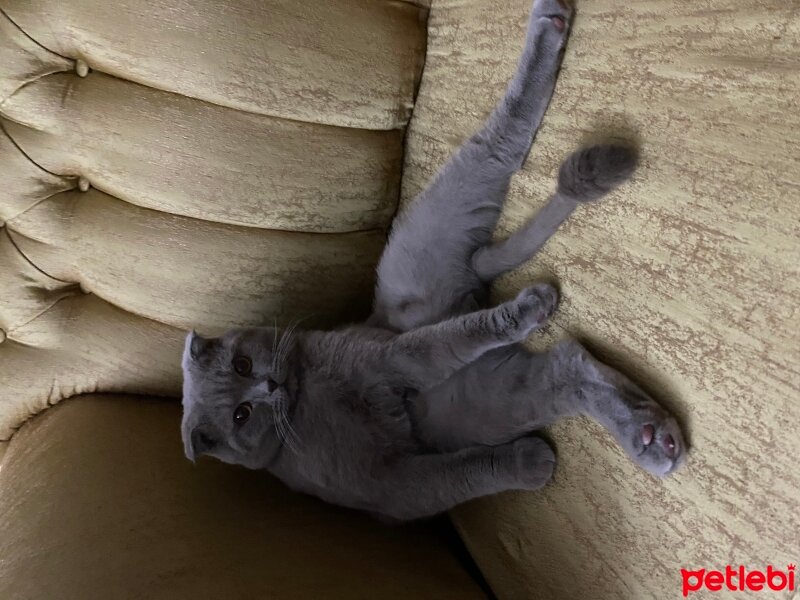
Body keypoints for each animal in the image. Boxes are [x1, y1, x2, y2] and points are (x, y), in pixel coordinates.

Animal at [183, 0, 688, 520]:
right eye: (240, 415)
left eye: (242, 365)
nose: (268, 386)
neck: (307, 401)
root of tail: (470, 284)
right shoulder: (393, 485)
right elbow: (460, 474)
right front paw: (530, 463)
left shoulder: (388, 358)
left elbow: (454, 339)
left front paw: (524, 312)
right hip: (485, 400)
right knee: (569, 367)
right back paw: (651, 437)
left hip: (442, 220)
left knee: (497, 143)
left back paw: (550, 22)